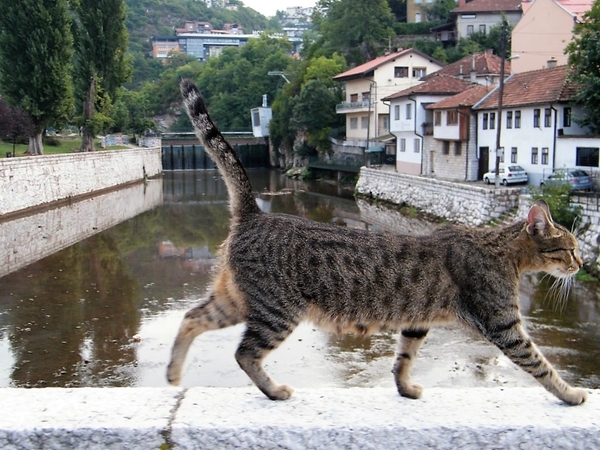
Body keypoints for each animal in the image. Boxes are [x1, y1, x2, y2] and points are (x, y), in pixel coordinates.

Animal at [166, 79, 588, 406]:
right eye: (570, 249)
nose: (582, 265)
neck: (503, 251)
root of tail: (255, 213)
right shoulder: (504, 325)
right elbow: (542, 366)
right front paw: (571, 394)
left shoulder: (417, 323)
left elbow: (403, 359)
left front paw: (405, 388)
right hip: (277, 310)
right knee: (244, 353)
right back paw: (273, 390)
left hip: (237, 300)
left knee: (191, 317)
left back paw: (172, 373)